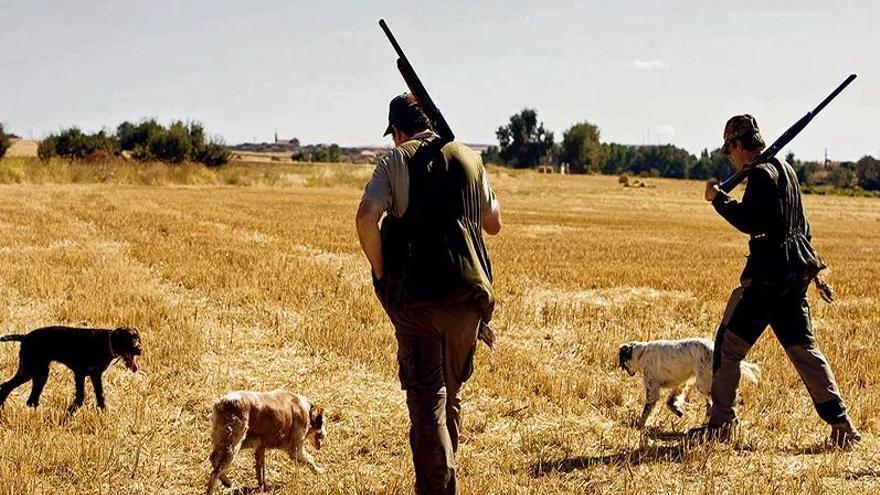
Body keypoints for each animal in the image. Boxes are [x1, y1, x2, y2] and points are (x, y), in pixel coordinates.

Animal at [0, 328, 141, 412]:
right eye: (129, 338)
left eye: (137, 338)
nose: (139, 349)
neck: (106, 343)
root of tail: (25, 337)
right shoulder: (80, 373)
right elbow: (80, 396)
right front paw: (71, 411)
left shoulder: (95, 375)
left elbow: (101, 396)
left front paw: (103, 413)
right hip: (33, 371)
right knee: (11, 388)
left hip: (34, 373)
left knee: (23, 395)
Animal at [616, 338, 760, 430]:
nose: (628, 372)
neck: (642, 352)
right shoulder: (681, 381)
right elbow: (670, 401)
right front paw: (678, 411)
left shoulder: (652, 389)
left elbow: (646, 411)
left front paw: (640, 425)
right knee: (711, 406)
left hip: (703, 384)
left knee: (718, 402)